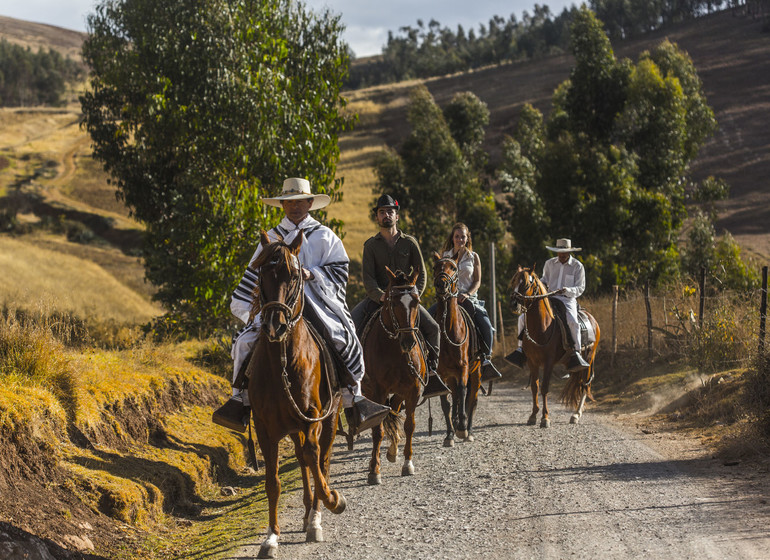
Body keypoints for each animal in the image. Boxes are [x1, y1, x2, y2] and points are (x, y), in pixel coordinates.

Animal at [246, 230, 344, 556]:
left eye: (294, 275)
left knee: (320, 458)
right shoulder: (265, 428)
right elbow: (273, 482)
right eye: (261, 273)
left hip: (329, 419)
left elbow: (316, 459)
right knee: (303, 460)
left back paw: (315, 514)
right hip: (292, 428)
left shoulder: (312, 417)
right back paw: (305, 512)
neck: (283, 364)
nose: (274, 325)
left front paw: (330, 503)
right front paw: (271, 537)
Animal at [360, 266, 426, 486]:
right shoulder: (378, 392)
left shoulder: (413, 390)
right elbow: (377, 430)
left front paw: (408, 463)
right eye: (394, 302)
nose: (408, 342)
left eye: (416, 301)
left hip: (399, 392)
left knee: (395, 410)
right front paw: (374, 471)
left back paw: (393, 451)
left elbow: (409, 425)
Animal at [510, 266, 600, 428]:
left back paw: (576, 414)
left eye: (526, 284)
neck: (542, 327)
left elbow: (545, 388)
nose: (514, 304)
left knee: (585, 384)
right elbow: (535, 387)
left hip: (589, 359)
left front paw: (545, 418)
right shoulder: (532, 362)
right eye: (513, 281)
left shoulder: (549, 362)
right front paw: (533, 416)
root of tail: (592, 320)